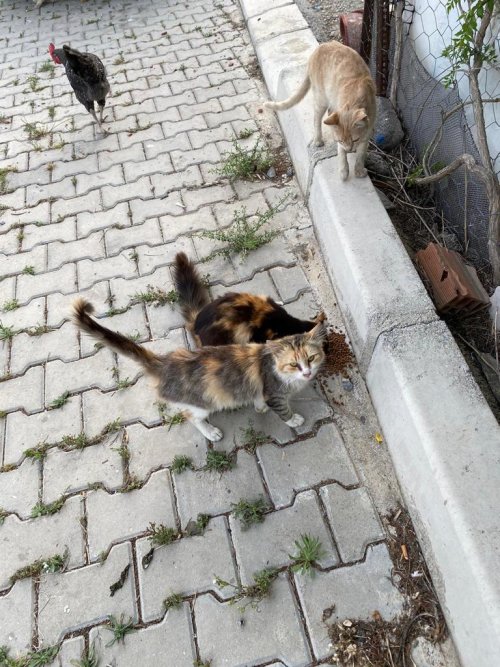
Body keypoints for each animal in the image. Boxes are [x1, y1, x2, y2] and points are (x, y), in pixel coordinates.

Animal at [72, 298, 326, 441]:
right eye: (293, 364)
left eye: (311, 357)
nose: (307, 373)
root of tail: (165, 362)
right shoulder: (274, 393)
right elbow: (283, 410)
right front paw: (293, 420)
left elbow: (257, 399)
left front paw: (259, 407)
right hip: (203, 403)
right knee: (189, 416)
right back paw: (211, 432)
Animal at [264, 41, 376, 182]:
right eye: (341, 141)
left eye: (355, 140)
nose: (349, 150)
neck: (354, 99)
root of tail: (321, 47)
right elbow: (341, 154)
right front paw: (344, 170)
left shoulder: (366, 137)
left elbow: (360, 156)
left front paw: (359, 170)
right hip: (321, 100)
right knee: (316, 120)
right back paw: (317, 140)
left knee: (329, 114)